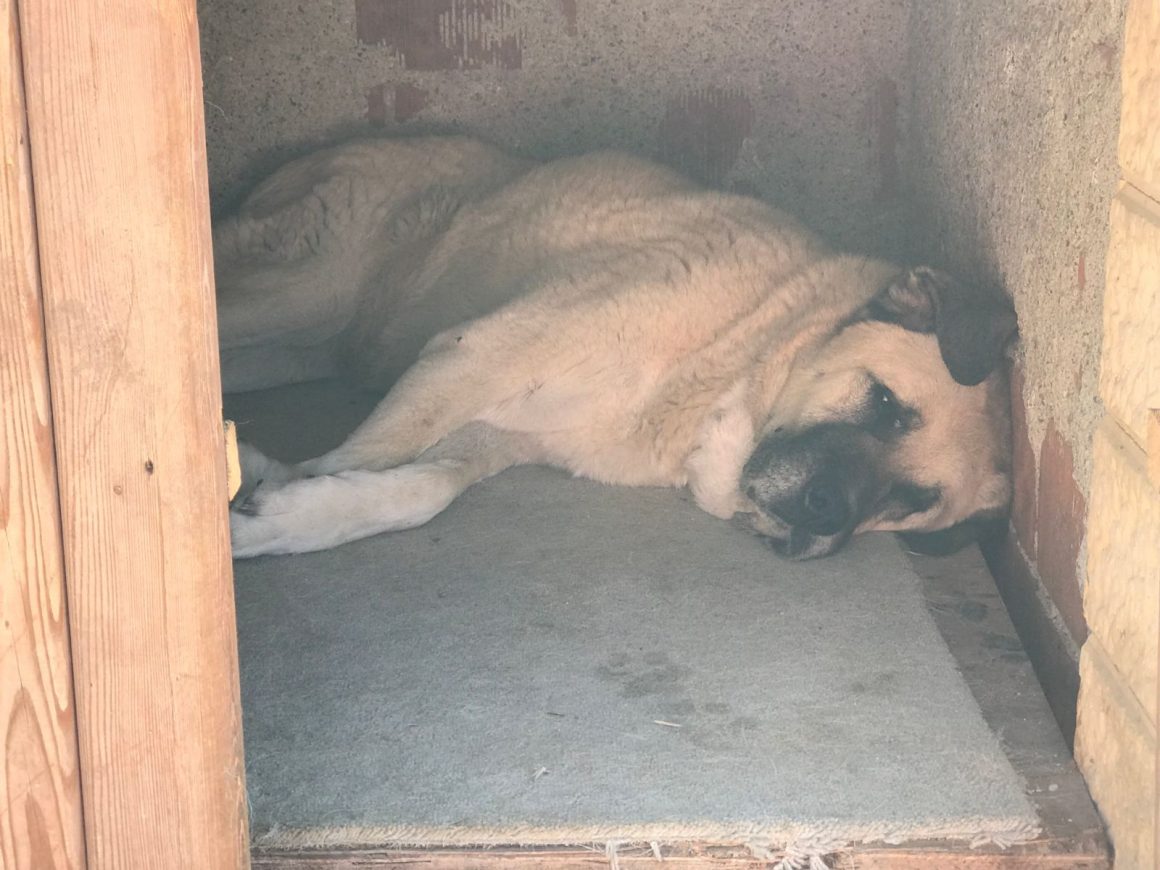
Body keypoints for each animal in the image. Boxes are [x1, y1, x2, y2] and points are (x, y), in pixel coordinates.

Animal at [216, 136, 1015, 560]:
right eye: (885, 403)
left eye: (912, 501)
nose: (825, 517)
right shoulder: (474, 351)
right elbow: (362, 456)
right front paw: (266, 499)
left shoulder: (498, 430)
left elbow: (419, 489)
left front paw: (279, 514)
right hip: (294, 288)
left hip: (293, 342)